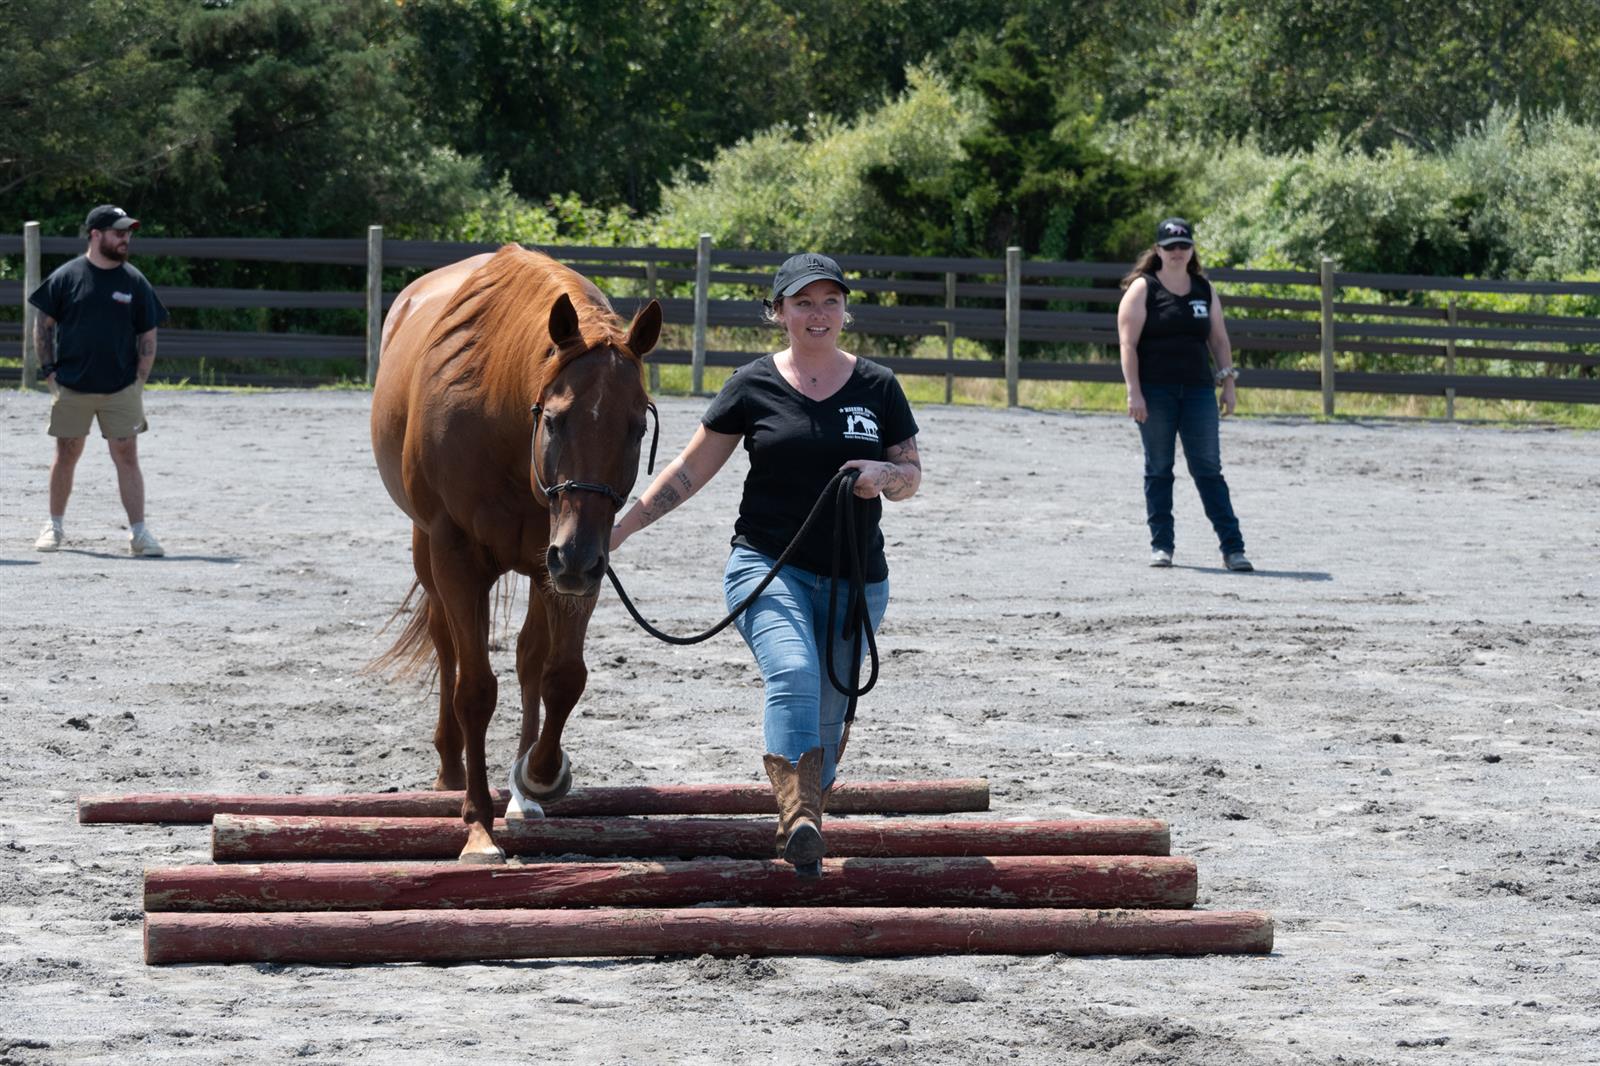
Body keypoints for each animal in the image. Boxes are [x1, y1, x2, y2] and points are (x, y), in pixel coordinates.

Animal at [371, 244, 661, 863]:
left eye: (635, 427)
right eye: (554, 418)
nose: (575, 557)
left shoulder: (575, 564)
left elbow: (562, 675)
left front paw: (539, 776)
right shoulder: (457, 556)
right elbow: (475, 689)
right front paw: (478, 827)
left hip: (543, 565)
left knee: (530, 657)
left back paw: (522, 794)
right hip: (433, 554)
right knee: (446, 645)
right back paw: (451, 771)